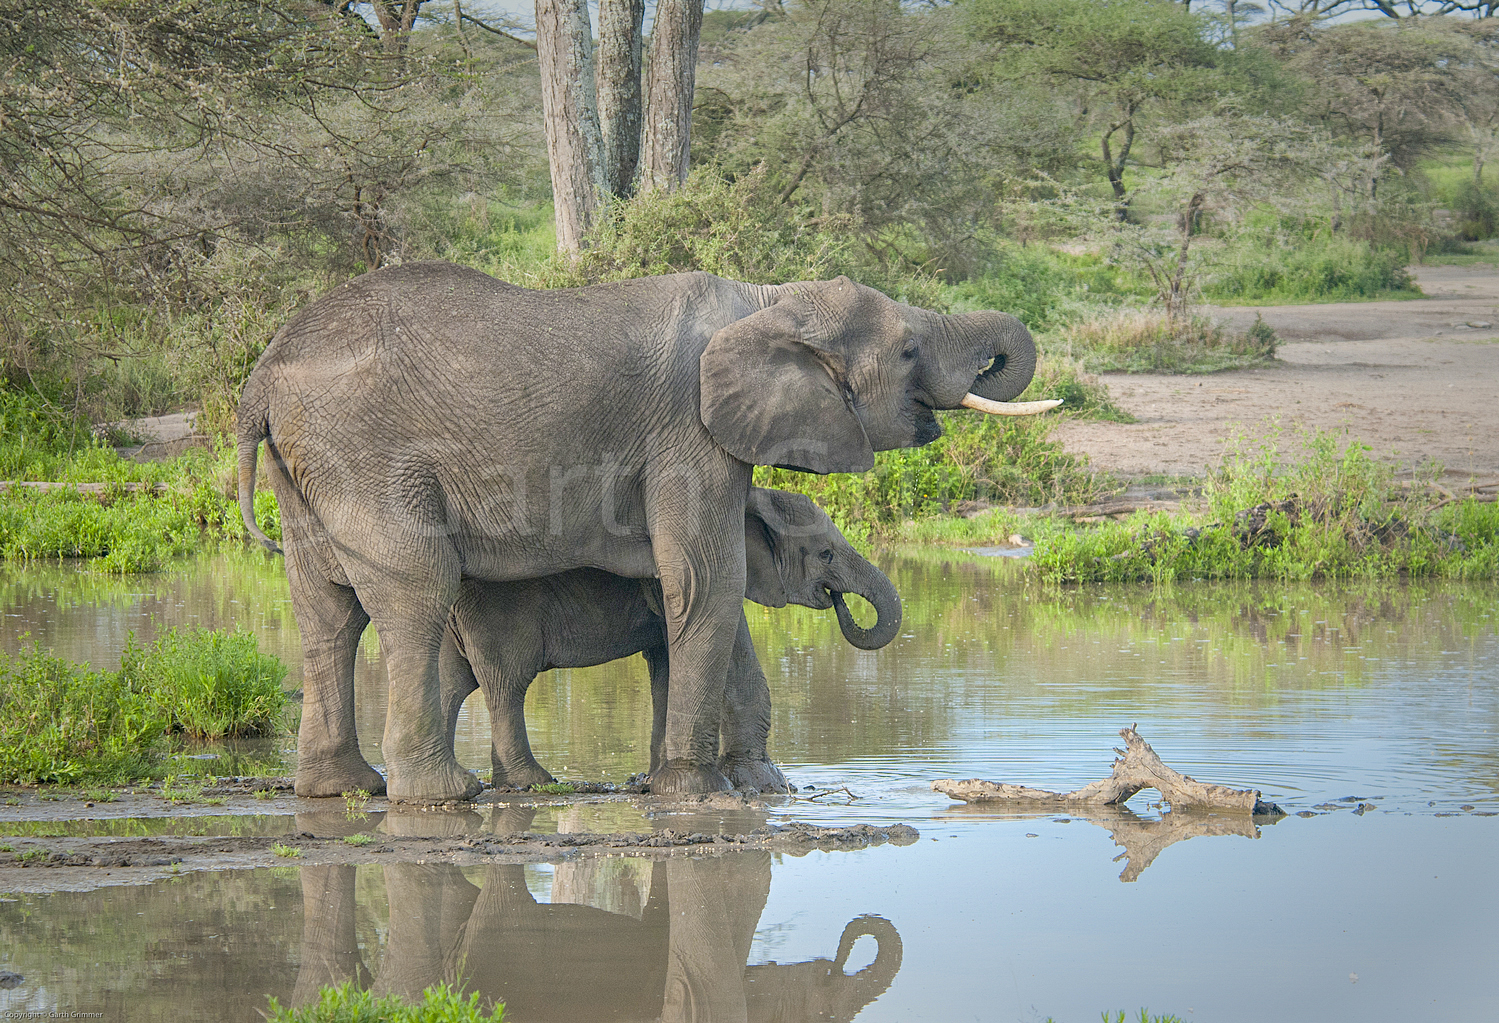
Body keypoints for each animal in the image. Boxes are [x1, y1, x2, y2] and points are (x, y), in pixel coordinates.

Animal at [437, 486, 899, 786]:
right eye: (826, 554)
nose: (838, 600)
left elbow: (666, 668)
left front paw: (655, 777)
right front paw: (766, 784)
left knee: (451, 684)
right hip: (497, 614)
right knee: (507, 685)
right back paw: (534, 781)